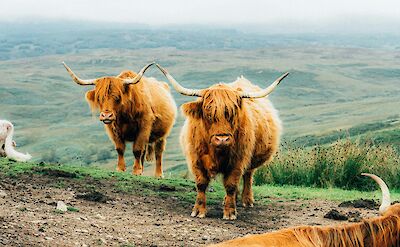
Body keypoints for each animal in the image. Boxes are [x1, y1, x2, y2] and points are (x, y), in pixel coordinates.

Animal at [155, 64, 288, 220]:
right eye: (208, 113)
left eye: (232, 113)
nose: (222, 139)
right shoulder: (196, 159)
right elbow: (201, 184)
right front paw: (198, 210)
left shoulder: (238, 161)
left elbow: (231, 184)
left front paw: (230, 212)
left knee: (248, 175)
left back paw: (247, 200)